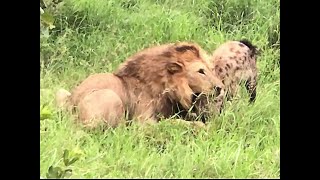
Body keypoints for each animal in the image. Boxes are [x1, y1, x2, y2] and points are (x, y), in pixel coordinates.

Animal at [55, 41, 225, 129]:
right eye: (201, 71)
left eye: (211, 69)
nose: (220, 88)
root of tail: (71, 106)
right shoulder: (143, 122)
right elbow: (173, 122)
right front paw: (203, 127)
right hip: (111, 97)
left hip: (61, 93)